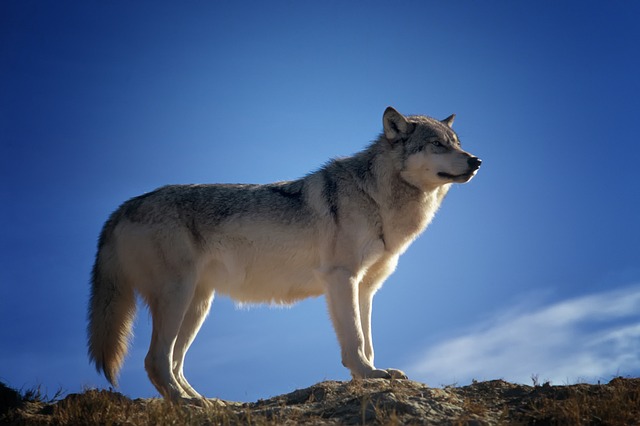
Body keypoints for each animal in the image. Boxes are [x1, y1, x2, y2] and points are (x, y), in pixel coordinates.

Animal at [87, 107, 481, 403]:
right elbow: (355, 340)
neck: (376, 197)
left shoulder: (366, 288)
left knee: (174, 363)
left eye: (457, 144)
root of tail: (121, 208)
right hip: (178, 297)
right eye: (437, 145)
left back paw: (205, 401)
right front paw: (368, 375)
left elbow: (368, 341)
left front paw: (372, 374)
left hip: (198, 305)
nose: (476, 161)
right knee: (155, 360)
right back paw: (186, 404)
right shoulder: (342, 279)